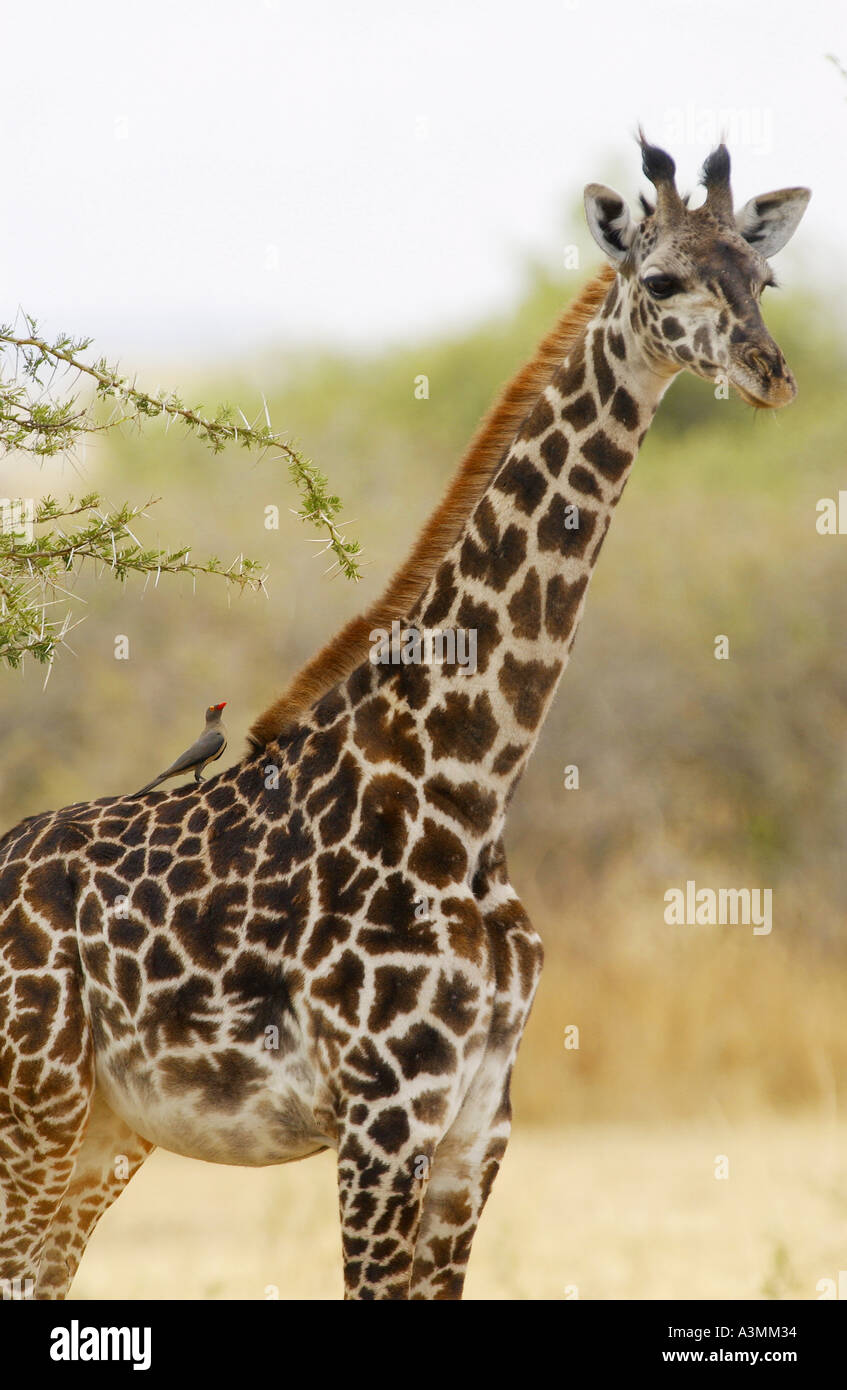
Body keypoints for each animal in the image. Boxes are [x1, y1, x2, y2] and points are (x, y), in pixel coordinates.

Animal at [0, 135, 806, 1295]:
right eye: (660, 282)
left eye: (762, 278)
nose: (769, 371)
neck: (463, 786)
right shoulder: (384, 1111)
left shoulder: (480, 1116)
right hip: (38, 1104)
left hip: (105, 1129)